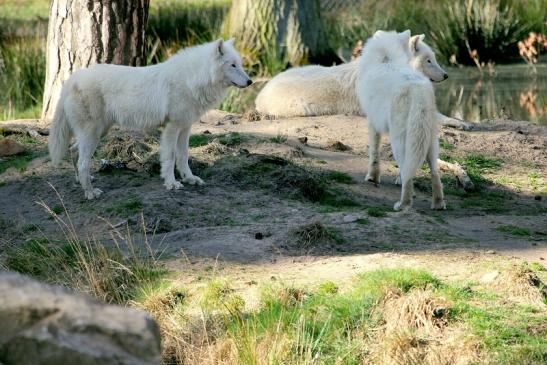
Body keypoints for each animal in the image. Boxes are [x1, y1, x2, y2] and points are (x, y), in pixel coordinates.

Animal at [49, 39, 253, 199]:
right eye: (232, 65)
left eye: (240, 64)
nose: (250, 82)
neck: (193, 79)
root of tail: (72, 79)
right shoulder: (172, 128)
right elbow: (170, 158)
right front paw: (172, 183)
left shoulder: (185, 128)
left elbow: (183, 156)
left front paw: (189, 179)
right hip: (93, 134)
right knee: (83, 162)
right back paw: (90, 193)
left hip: (98, 132)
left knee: (74, 151)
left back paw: (82, 182)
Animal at [358, 30, 448, 210]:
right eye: (429, 60)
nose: (446, 75)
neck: (386, 58)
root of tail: (419, 90)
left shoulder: (372, 121)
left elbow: (374, 152)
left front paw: (372, 177)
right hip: (430, 141)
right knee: (434, 172)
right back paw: (438, 204)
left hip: (398, 141)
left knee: (408, 169)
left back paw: (403, 204)